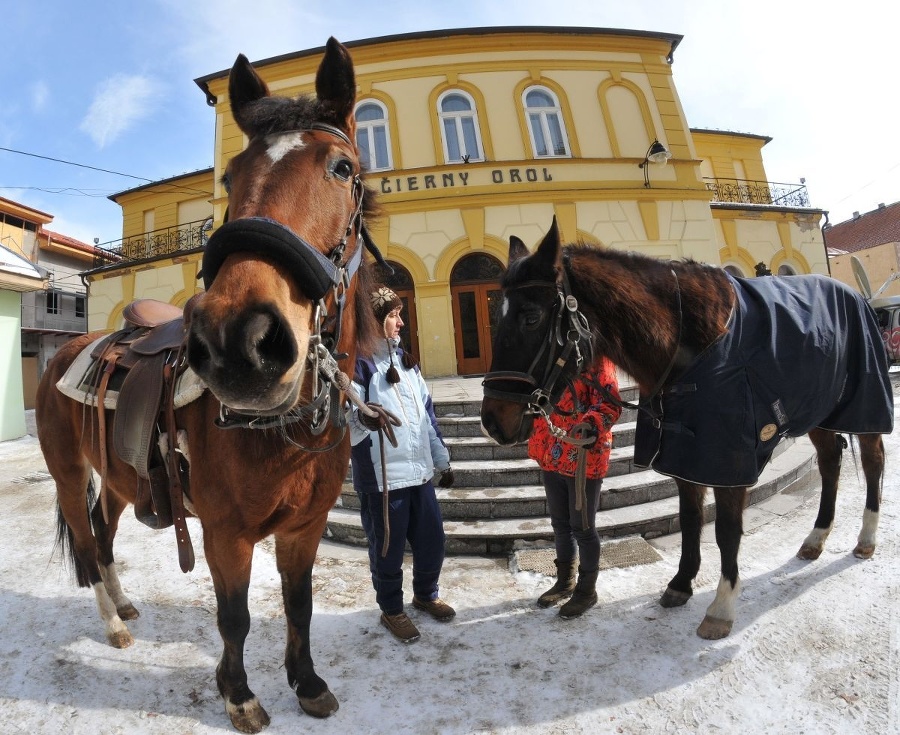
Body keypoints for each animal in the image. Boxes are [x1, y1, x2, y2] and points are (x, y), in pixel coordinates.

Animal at [34, 37, 380, 732]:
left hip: (118, 478)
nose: (237, 341)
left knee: (104, 536)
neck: (284, 430)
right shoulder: (225, 535)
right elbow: (235, 617)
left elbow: (298, 607)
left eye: (342, 168)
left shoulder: (304, 530)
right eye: (230, 177)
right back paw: (113, 626)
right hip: (68, 473)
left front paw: (306, 682)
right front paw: (238, 692)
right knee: (84, 542)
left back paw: (124, 604)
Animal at [482, 218, 888, 640]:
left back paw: (866, 538)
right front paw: (681, 584)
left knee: (873, 461)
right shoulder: (686, 454)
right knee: (830, 462)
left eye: (531, 317)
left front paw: (721, 607)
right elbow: (691, 517)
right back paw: (816, 538)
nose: (492, 420)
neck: (690, 344)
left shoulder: (729, 462)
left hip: (864, 406)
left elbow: (726, 530)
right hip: (817, 413)